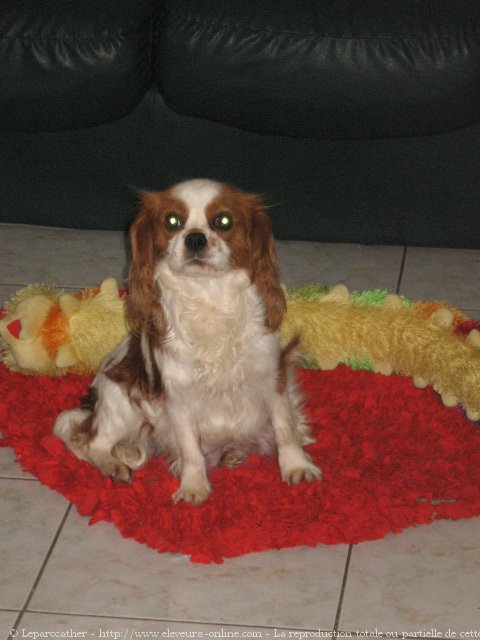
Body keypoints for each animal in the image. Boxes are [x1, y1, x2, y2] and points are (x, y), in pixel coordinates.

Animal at [54, 180, 320, 504]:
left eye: (223, 221)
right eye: (172, 222)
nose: (195, 238)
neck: (209, 297)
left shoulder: (272, 378)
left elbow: (285, 428)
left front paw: (296, 466)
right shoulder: (179, 396)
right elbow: (191, 448)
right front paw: (194, 486)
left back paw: (231, 453)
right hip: (122, 400)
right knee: (91, 442)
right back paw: (113, 465)